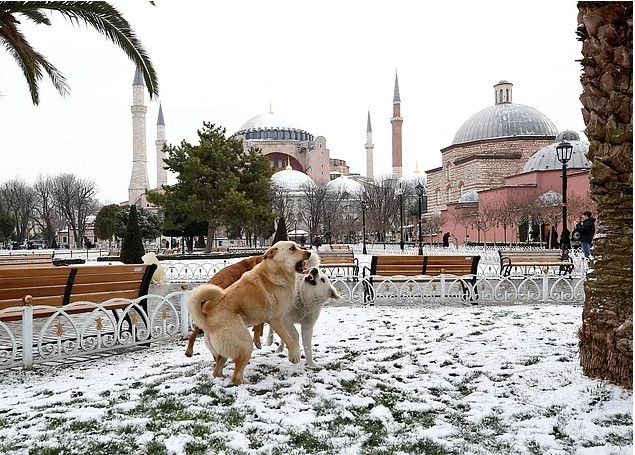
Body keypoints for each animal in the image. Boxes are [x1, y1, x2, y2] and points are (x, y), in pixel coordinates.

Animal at [188, 240, 312, 386]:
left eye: (298, 246)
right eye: (292, 248)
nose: (309, 253)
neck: (275, 271)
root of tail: (206, 321)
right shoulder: (275, 320)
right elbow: (288, 339)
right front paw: (294, 356)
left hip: (227, 352)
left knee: (217, 371)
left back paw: (226, 377)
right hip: (246, 345)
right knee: (235, 377)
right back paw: (249, 384)